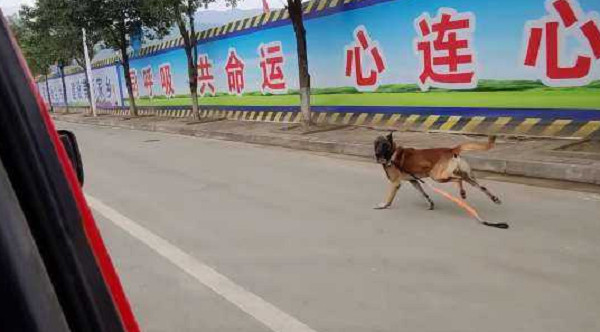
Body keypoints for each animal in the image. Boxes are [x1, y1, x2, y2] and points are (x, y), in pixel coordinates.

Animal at [372, 133, 500, 209]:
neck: (392, 154)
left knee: (458, 179)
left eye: (384, 145)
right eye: (376, 144)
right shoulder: (414, 181)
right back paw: (494, 199)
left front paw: (384, 205)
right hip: (467, 176)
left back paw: (463, 192)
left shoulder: (395, 183)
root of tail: (451, 149)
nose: (377, 154)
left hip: (437, 176)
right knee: (481, 187)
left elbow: (389, 197)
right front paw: (430, 203)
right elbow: (423, 194)